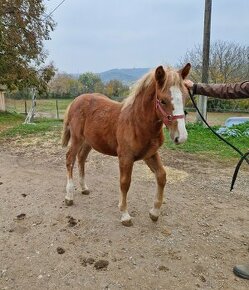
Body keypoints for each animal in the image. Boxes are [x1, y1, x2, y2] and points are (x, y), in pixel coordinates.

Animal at [61, 63, 191, 227]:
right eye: (162, 101)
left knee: (81, 158)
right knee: (70, 159)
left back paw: (84, 188)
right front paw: (125, 215)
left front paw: (154, 212)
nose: (181, 137)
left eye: (185, 97)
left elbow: (161, 176)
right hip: (77, 139)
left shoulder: (150, 154)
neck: (137, 122)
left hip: (88, 141)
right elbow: (125, 183)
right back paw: (69, 196)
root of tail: (75, 100)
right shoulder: (125, 157)